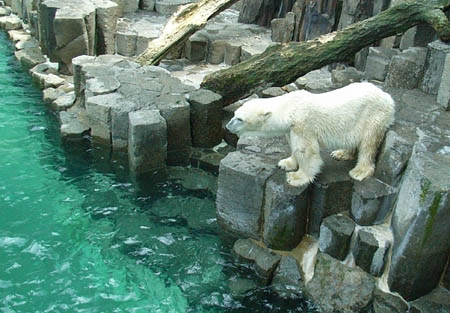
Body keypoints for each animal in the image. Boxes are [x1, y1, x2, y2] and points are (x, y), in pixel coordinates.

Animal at [225, 81, 394, 186]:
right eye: (234, 114)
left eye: (239, 119)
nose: (227, 127)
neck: (290, 108)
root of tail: (387, 96)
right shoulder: (291, 128)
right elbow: (293, 146)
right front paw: (286, 163)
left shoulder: (303, 124)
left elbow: (306, 151)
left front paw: (296, 177)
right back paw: (341, 153)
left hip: (373, 116)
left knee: (368, 143)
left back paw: (359, 171)